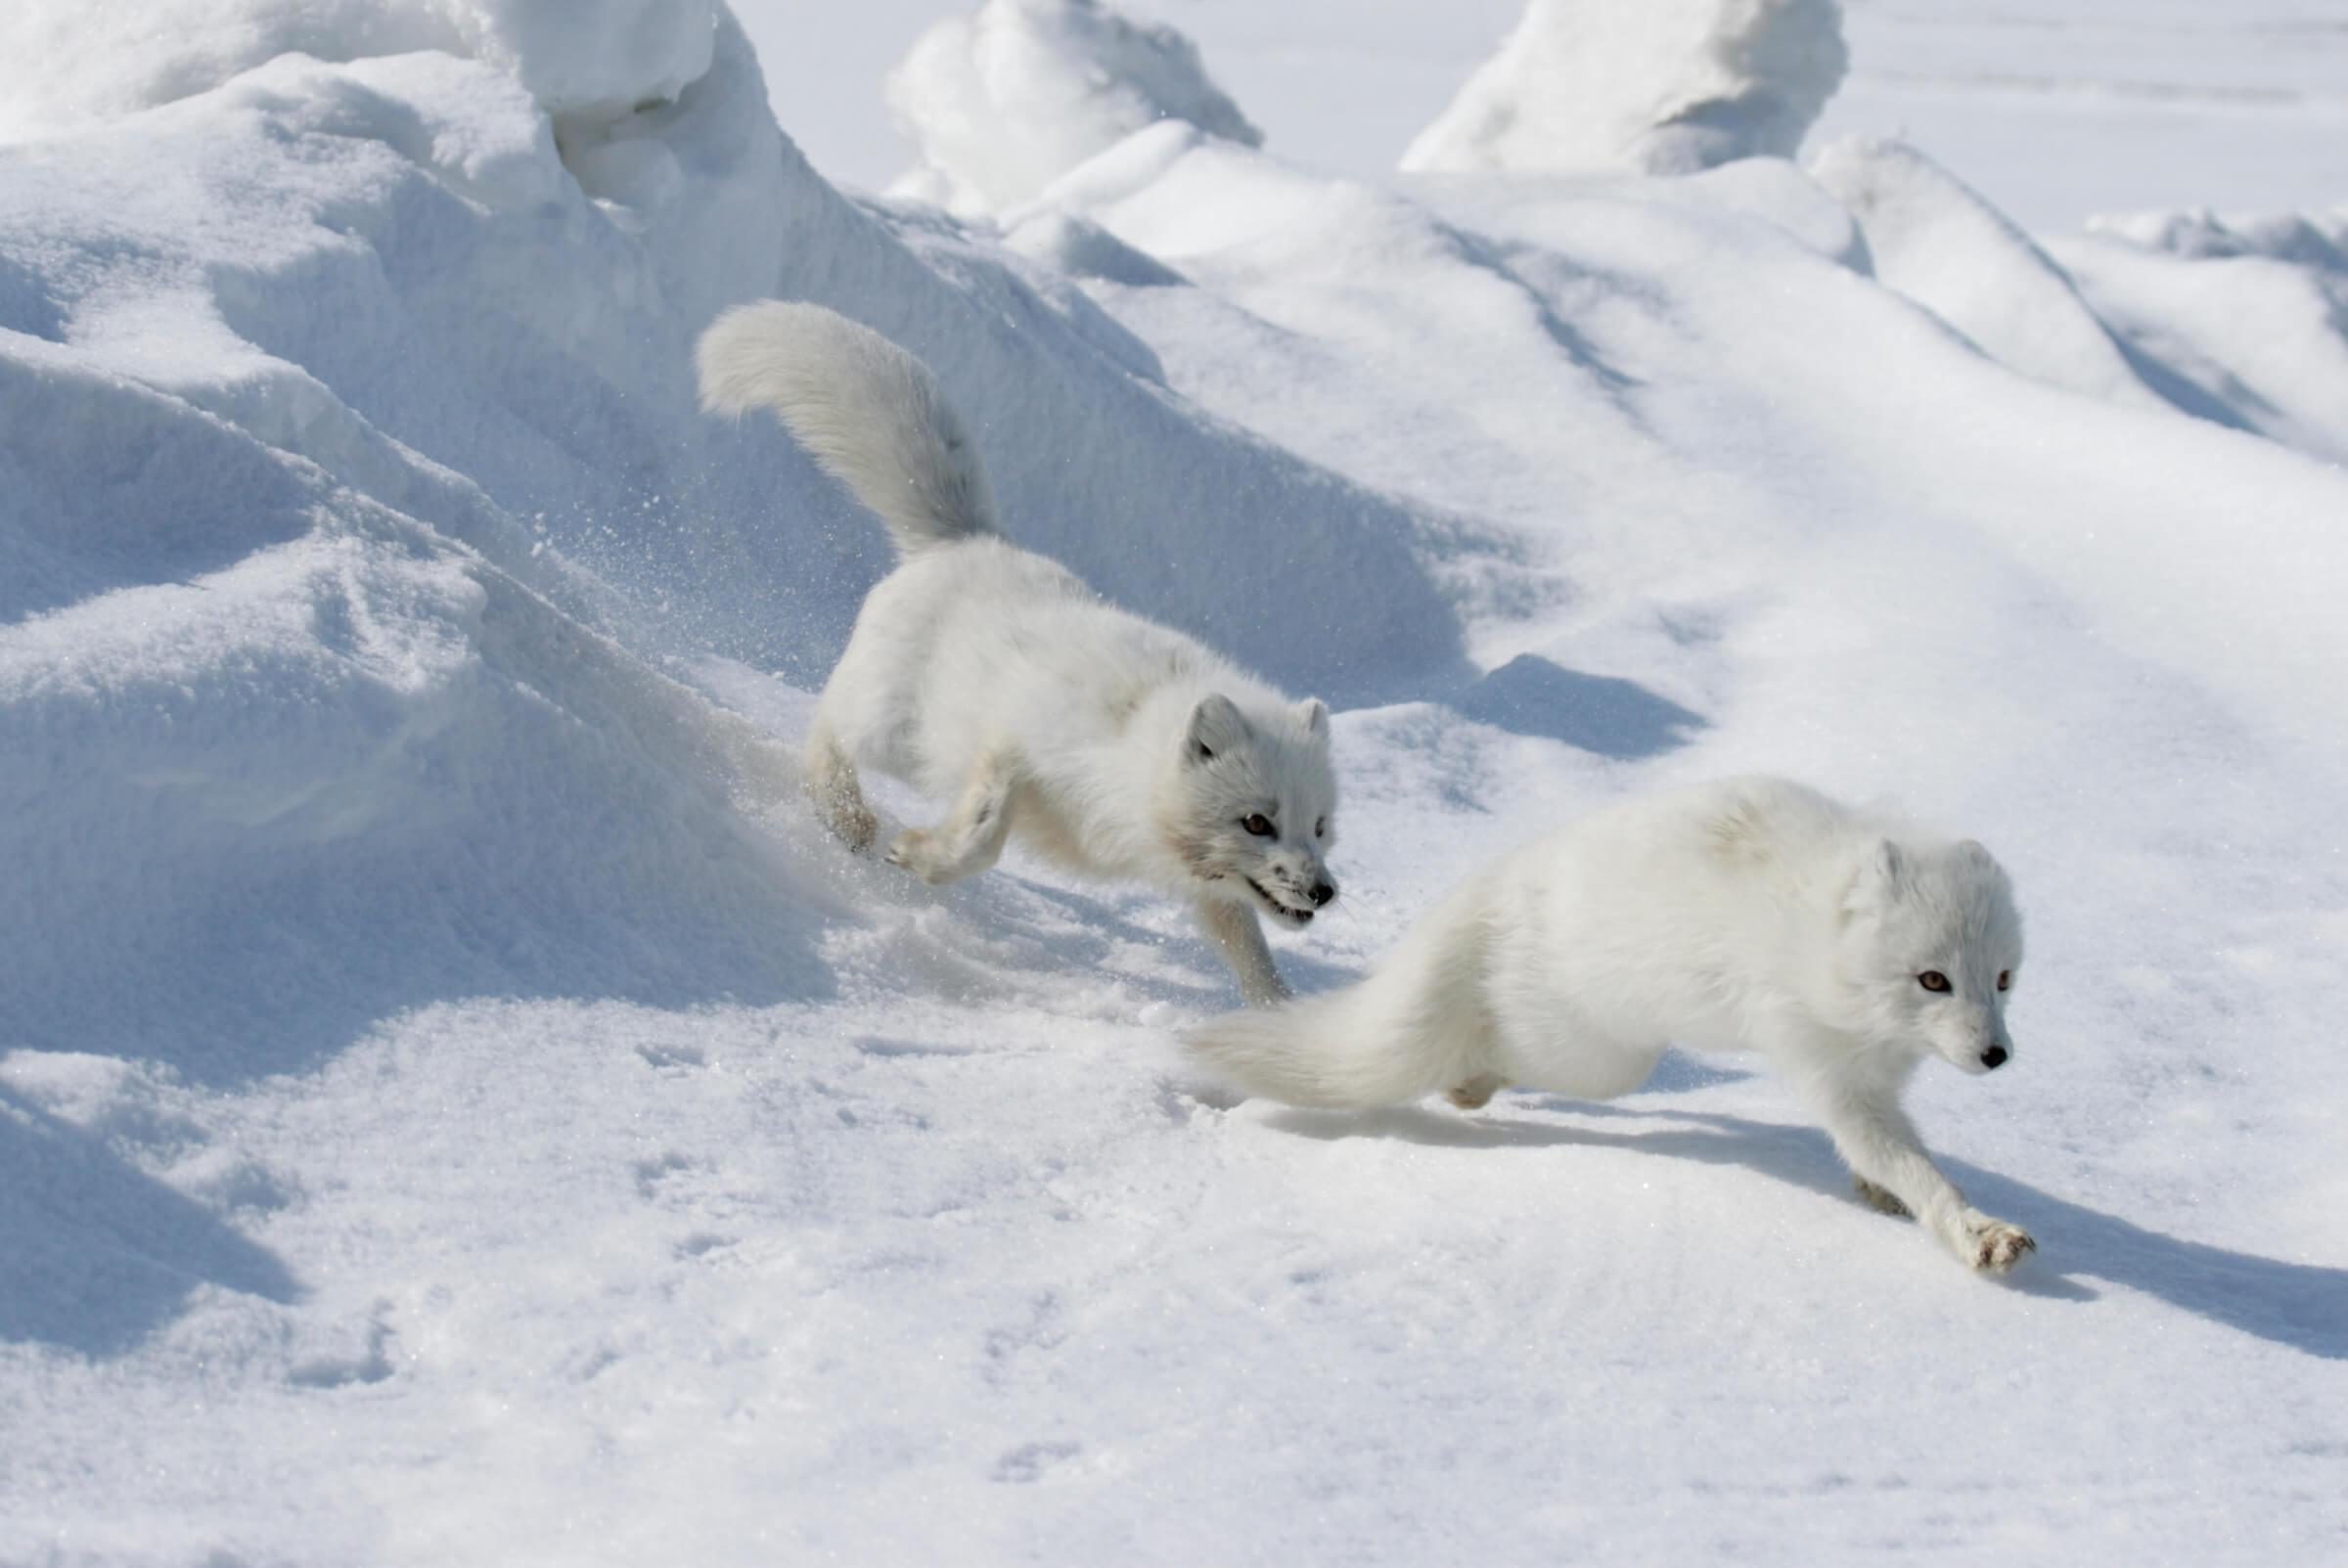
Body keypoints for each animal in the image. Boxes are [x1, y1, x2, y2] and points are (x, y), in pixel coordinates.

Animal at [690, 300, 1342, 1005]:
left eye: (1320, 825)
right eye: (1256, 822)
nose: (1323, 892)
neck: (1129, 750)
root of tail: (967, 539)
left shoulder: (1203, 884)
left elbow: (1248, 948)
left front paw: (1283, 1018)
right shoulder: (1011, 746)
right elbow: (984, 832)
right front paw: (921, 855)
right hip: (898, 735)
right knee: (828, 720)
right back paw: (844, 815)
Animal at [1193, 774, 2038, 1277]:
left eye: (2003, 978)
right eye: (1933, 978)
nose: (1996, 1054)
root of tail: (1496, 886)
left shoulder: (1879, 1075)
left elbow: (1885, 1156)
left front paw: (1881, 1191)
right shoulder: (1828, 1066)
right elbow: (1911, 1164)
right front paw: (1976, 1230)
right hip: (1602, 1057)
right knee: (1498, 1052)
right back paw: (1468, 1087)